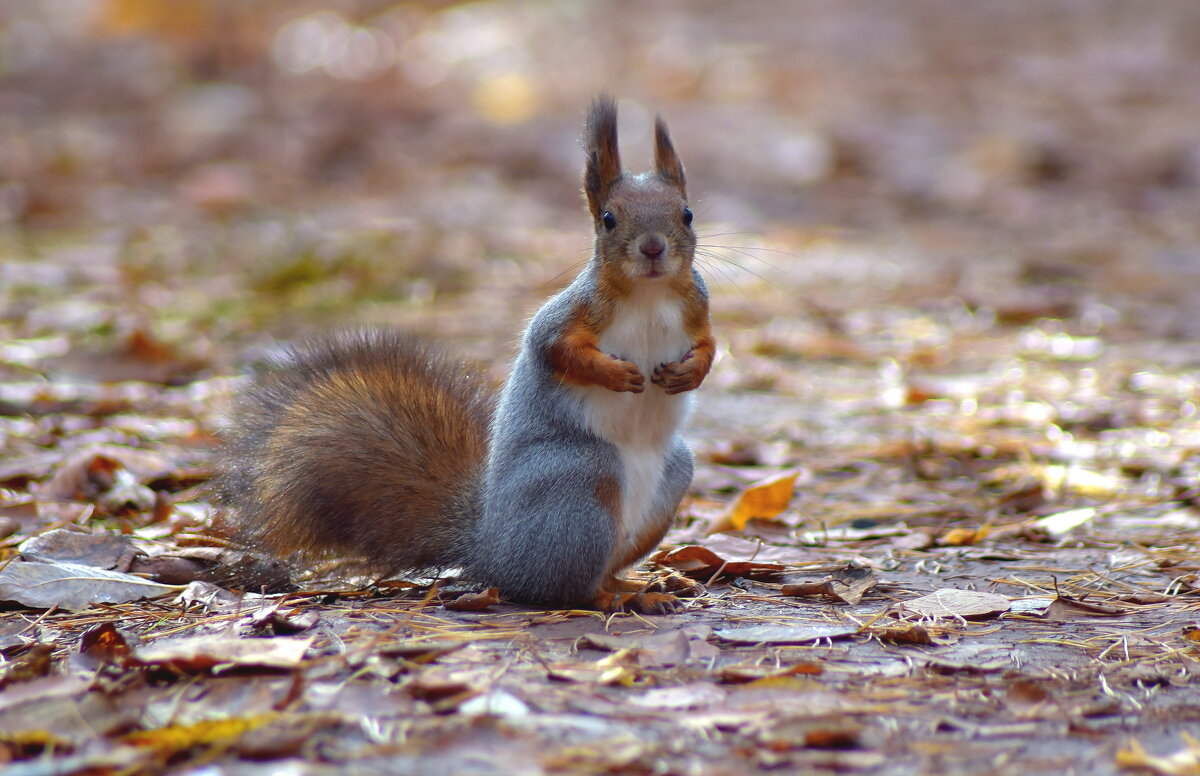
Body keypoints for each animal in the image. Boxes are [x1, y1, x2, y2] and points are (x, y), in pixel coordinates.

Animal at [219, 95, 710, 614]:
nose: (653, 248)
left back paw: (649, 584)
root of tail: (491, 550)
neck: (649, 295)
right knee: (567, 588)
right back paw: (620, 598)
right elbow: (554, 348)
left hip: (669, 479)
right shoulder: (568, 315)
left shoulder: (698, 307)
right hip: (580, 481)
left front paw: (692, 372)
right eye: (609, 219)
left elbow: (709, 345)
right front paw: (615, 374)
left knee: (607, 565)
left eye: (687, 213)